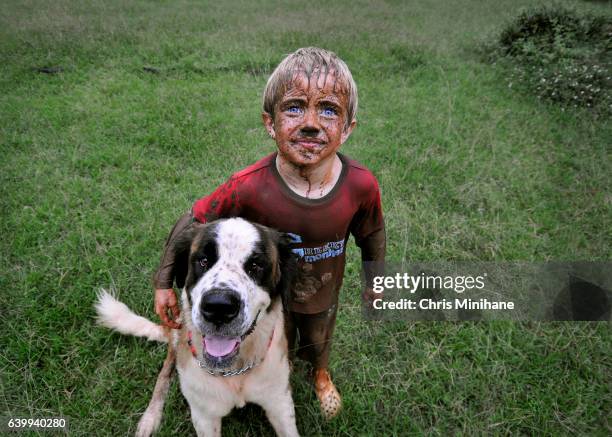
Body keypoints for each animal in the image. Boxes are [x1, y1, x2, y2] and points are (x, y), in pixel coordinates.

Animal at [94, 218, 302, 436]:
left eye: (255, 265)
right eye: (203, 261)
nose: (219, 307)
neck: (234, 372)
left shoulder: (280, 403)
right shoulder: (204, 416)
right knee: (164, 374)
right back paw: (150, 418)